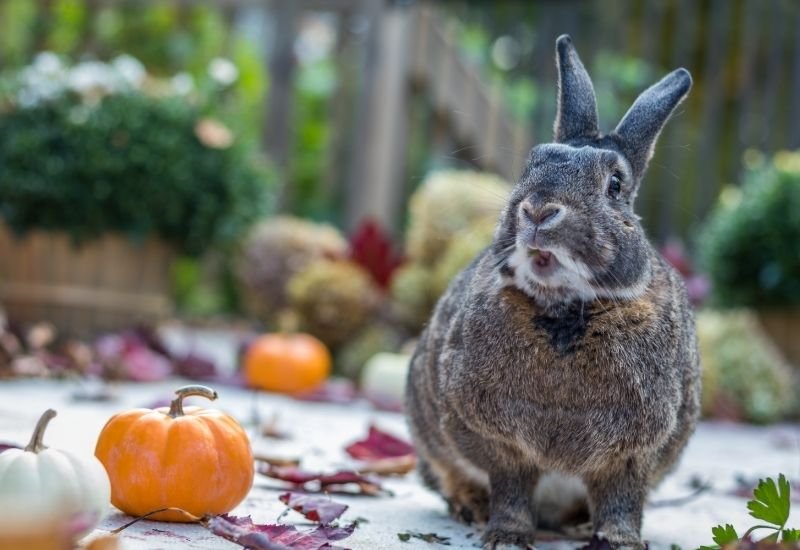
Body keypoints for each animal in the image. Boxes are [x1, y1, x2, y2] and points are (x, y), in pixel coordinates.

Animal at [406, 34, 700, 550]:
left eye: (615, 184)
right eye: (532, 163)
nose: (538, 209)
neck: (566, 309)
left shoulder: (636, 453)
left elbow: (622, 499)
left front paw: (619, 541)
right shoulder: (499, 443)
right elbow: (511, 488)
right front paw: (505, 536)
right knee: (442, 471)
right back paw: (469, 505)